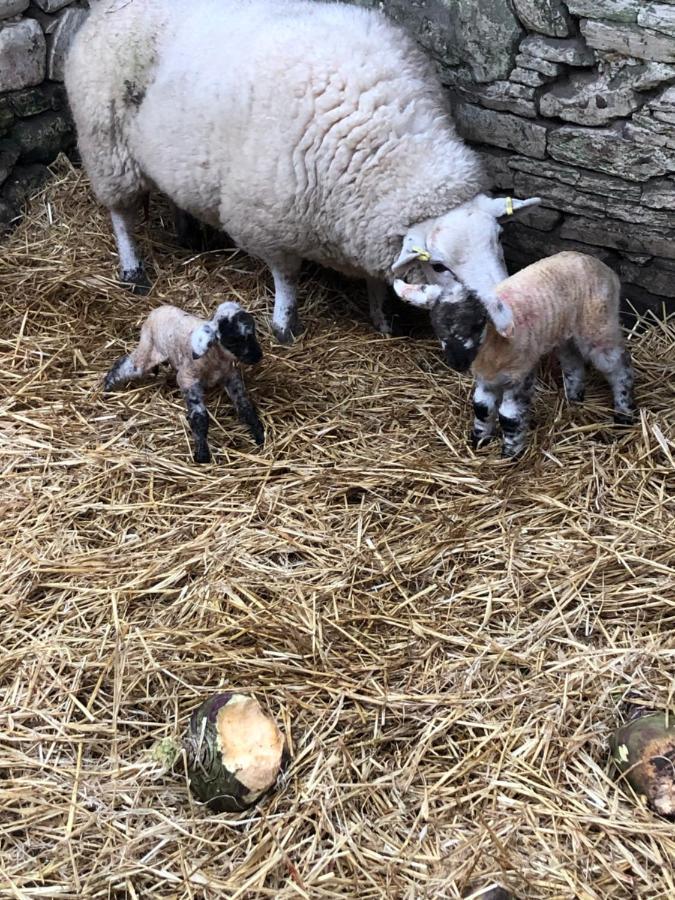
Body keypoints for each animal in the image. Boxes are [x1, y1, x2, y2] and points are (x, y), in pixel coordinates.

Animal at [63, 0, 540, 344]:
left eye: (499, 241)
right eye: (439, 266)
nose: (511, 319)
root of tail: (105, 5)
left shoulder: (364, 226)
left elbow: (376, 278)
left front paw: (382, 317)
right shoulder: (267, 221)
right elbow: (286, 277)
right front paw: (284, 325)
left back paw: (187, 231)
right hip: (106, 143)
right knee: (121, 214)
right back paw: (133, 270)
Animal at [104, 302, 266, 464]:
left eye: (253, 333)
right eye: (233, 341)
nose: (258, 356)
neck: (215, 359)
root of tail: (156, 310)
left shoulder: (231, 376)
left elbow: (244, 405)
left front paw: (259, 434)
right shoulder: (187, 379)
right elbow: (199, 417)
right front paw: (202, 454)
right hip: (148, 349)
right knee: (127, 364)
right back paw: (108, 385)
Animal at [394, 250, 636, 458]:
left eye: (478, 323)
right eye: (437, 327)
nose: (458, 362)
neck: (491, 348)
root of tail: (604, 267)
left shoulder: (520, 375)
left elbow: (509, 418)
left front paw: (510, 454)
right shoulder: (486, 379)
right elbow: (481, 408)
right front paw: (478, 440)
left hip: (598, 326)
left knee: (619, 367)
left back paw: (624, 414)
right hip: (565, 333)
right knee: (573, 363)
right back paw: (574, 399)